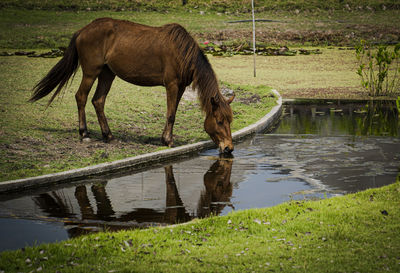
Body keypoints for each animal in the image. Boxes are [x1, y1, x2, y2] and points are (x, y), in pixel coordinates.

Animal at [30, 17, 234, 153]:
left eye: (229, 121)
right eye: (219, 121)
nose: (229, 148)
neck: (182, 53)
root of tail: (83, 30)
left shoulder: (181, 87)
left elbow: (173, 112)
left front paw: (164, 138)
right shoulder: (172, 85)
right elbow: (170, 115)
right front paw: (168, 140)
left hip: (107, 74)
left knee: (98, 101)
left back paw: (108, 135)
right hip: (91, 72)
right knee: (81, 96)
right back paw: (85, 133)